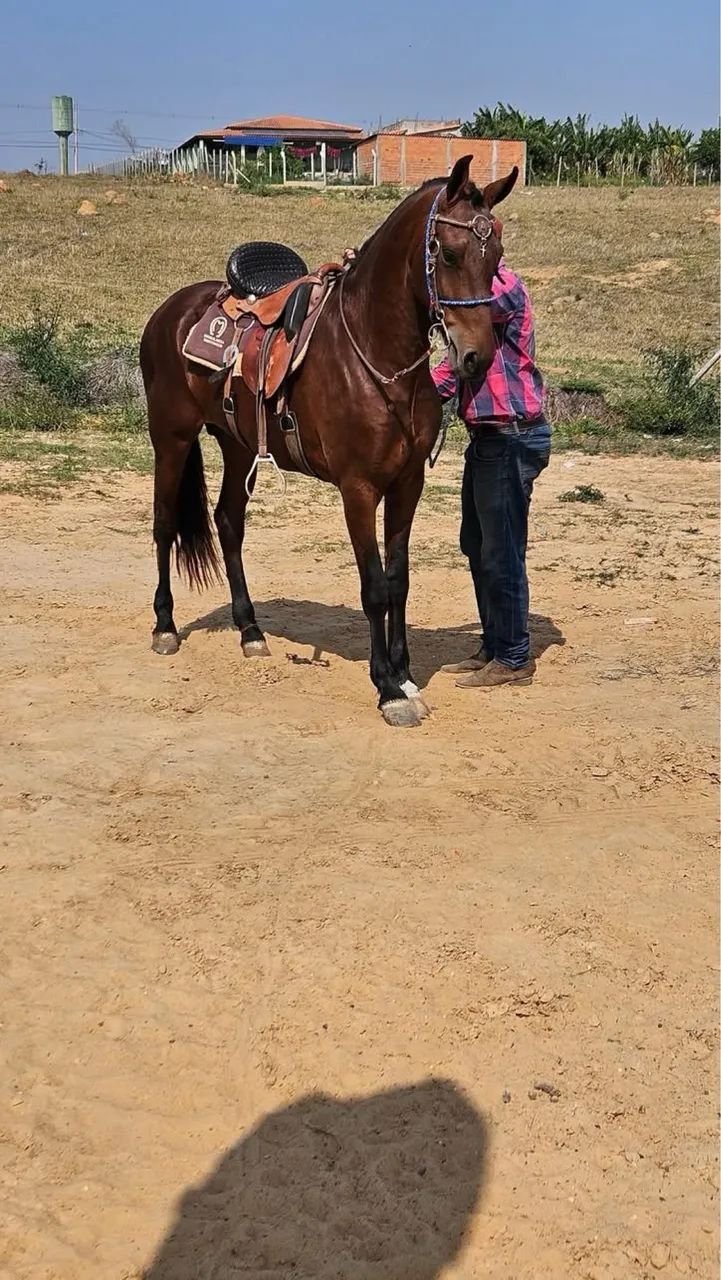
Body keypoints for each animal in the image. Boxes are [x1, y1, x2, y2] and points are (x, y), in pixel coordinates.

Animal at [139, 155, 518, 727]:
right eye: (450, 254)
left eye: (495, 257)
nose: (477, 356)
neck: (377, 357)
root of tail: (171, 310)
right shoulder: (358, 489)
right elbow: (374, 586)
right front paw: (387, 687)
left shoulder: (407, 485)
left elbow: (399, 580)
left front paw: (406, 675)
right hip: (172, 437)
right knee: (164, 524)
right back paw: (164, 626)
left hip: (238, 445)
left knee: (228, 523)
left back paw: (250, 630)